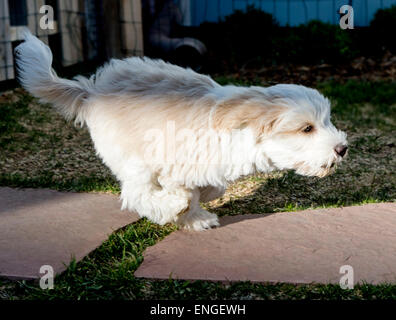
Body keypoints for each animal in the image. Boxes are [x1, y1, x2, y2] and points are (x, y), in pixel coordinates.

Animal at [14, 33, 346, 230]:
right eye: (307, 128)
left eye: (327, 121)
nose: (342, 148)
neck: (236, 131)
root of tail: (91, 90)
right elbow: (176, 195)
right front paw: (178, 208)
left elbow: (208, 189)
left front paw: (197, 214)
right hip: (131, 156)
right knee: (136, 192)